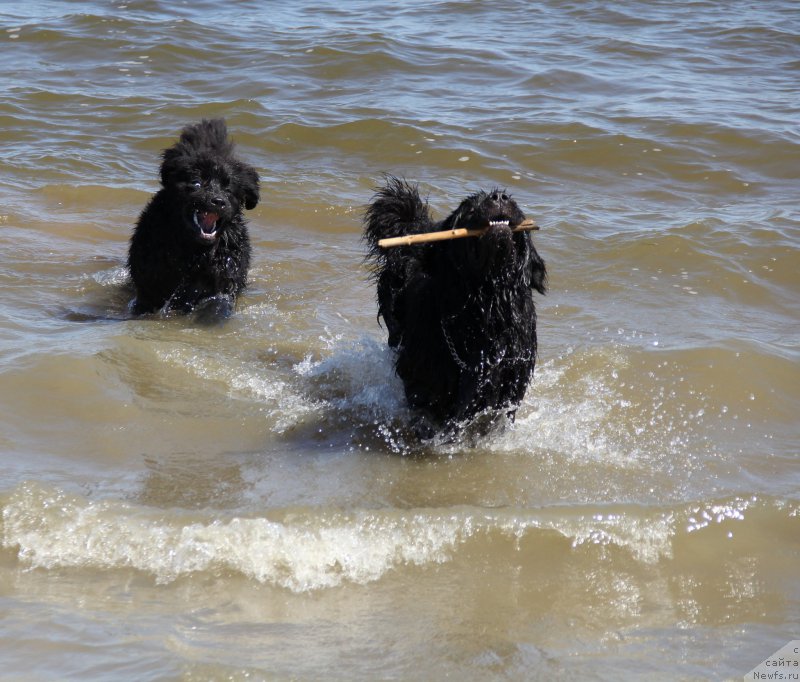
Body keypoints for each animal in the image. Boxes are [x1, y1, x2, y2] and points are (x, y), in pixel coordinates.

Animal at [128, 119, 260, 314]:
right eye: (197, 183)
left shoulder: (223, 282)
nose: (218, 201)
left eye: (228, 189)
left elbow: (218, 303)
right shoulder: (150, 285)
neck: (195, 252)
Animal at [364, 177, 548, 436]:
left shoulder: (509, 383)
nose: (499, 197)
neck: (487, 304)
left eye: (515, 205)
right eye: (470, 208)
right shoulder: (427, 377)